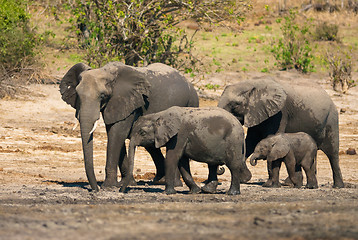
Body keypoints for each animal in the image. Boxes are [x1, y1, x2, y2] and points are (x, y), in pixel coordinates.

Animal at [59, 62, 199, 191]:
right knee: (151, 146)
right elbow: (114, 132)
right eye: (77, 95)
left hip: (191, 103)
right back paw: (159, 181)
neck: (106, 72)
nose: (95, 189)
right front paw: (127, 183)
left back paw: (175, 184)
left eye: (102, 96)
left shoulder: (130, 102)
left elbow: (116, 133)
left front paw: (108, 186)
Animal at [120, 107, 252, 195]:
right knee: (213, 165)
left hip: (233, 140)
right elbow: (182, 162)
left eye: (142, 133)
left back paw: (232, 193)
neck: (159, 115)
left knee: (233, 166)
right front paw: (195, 192)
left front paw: (168, 193)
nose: (122, 191)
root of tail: (240, 127)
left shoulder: (179, 135)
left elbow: (172, 158)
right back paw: (207, 190)